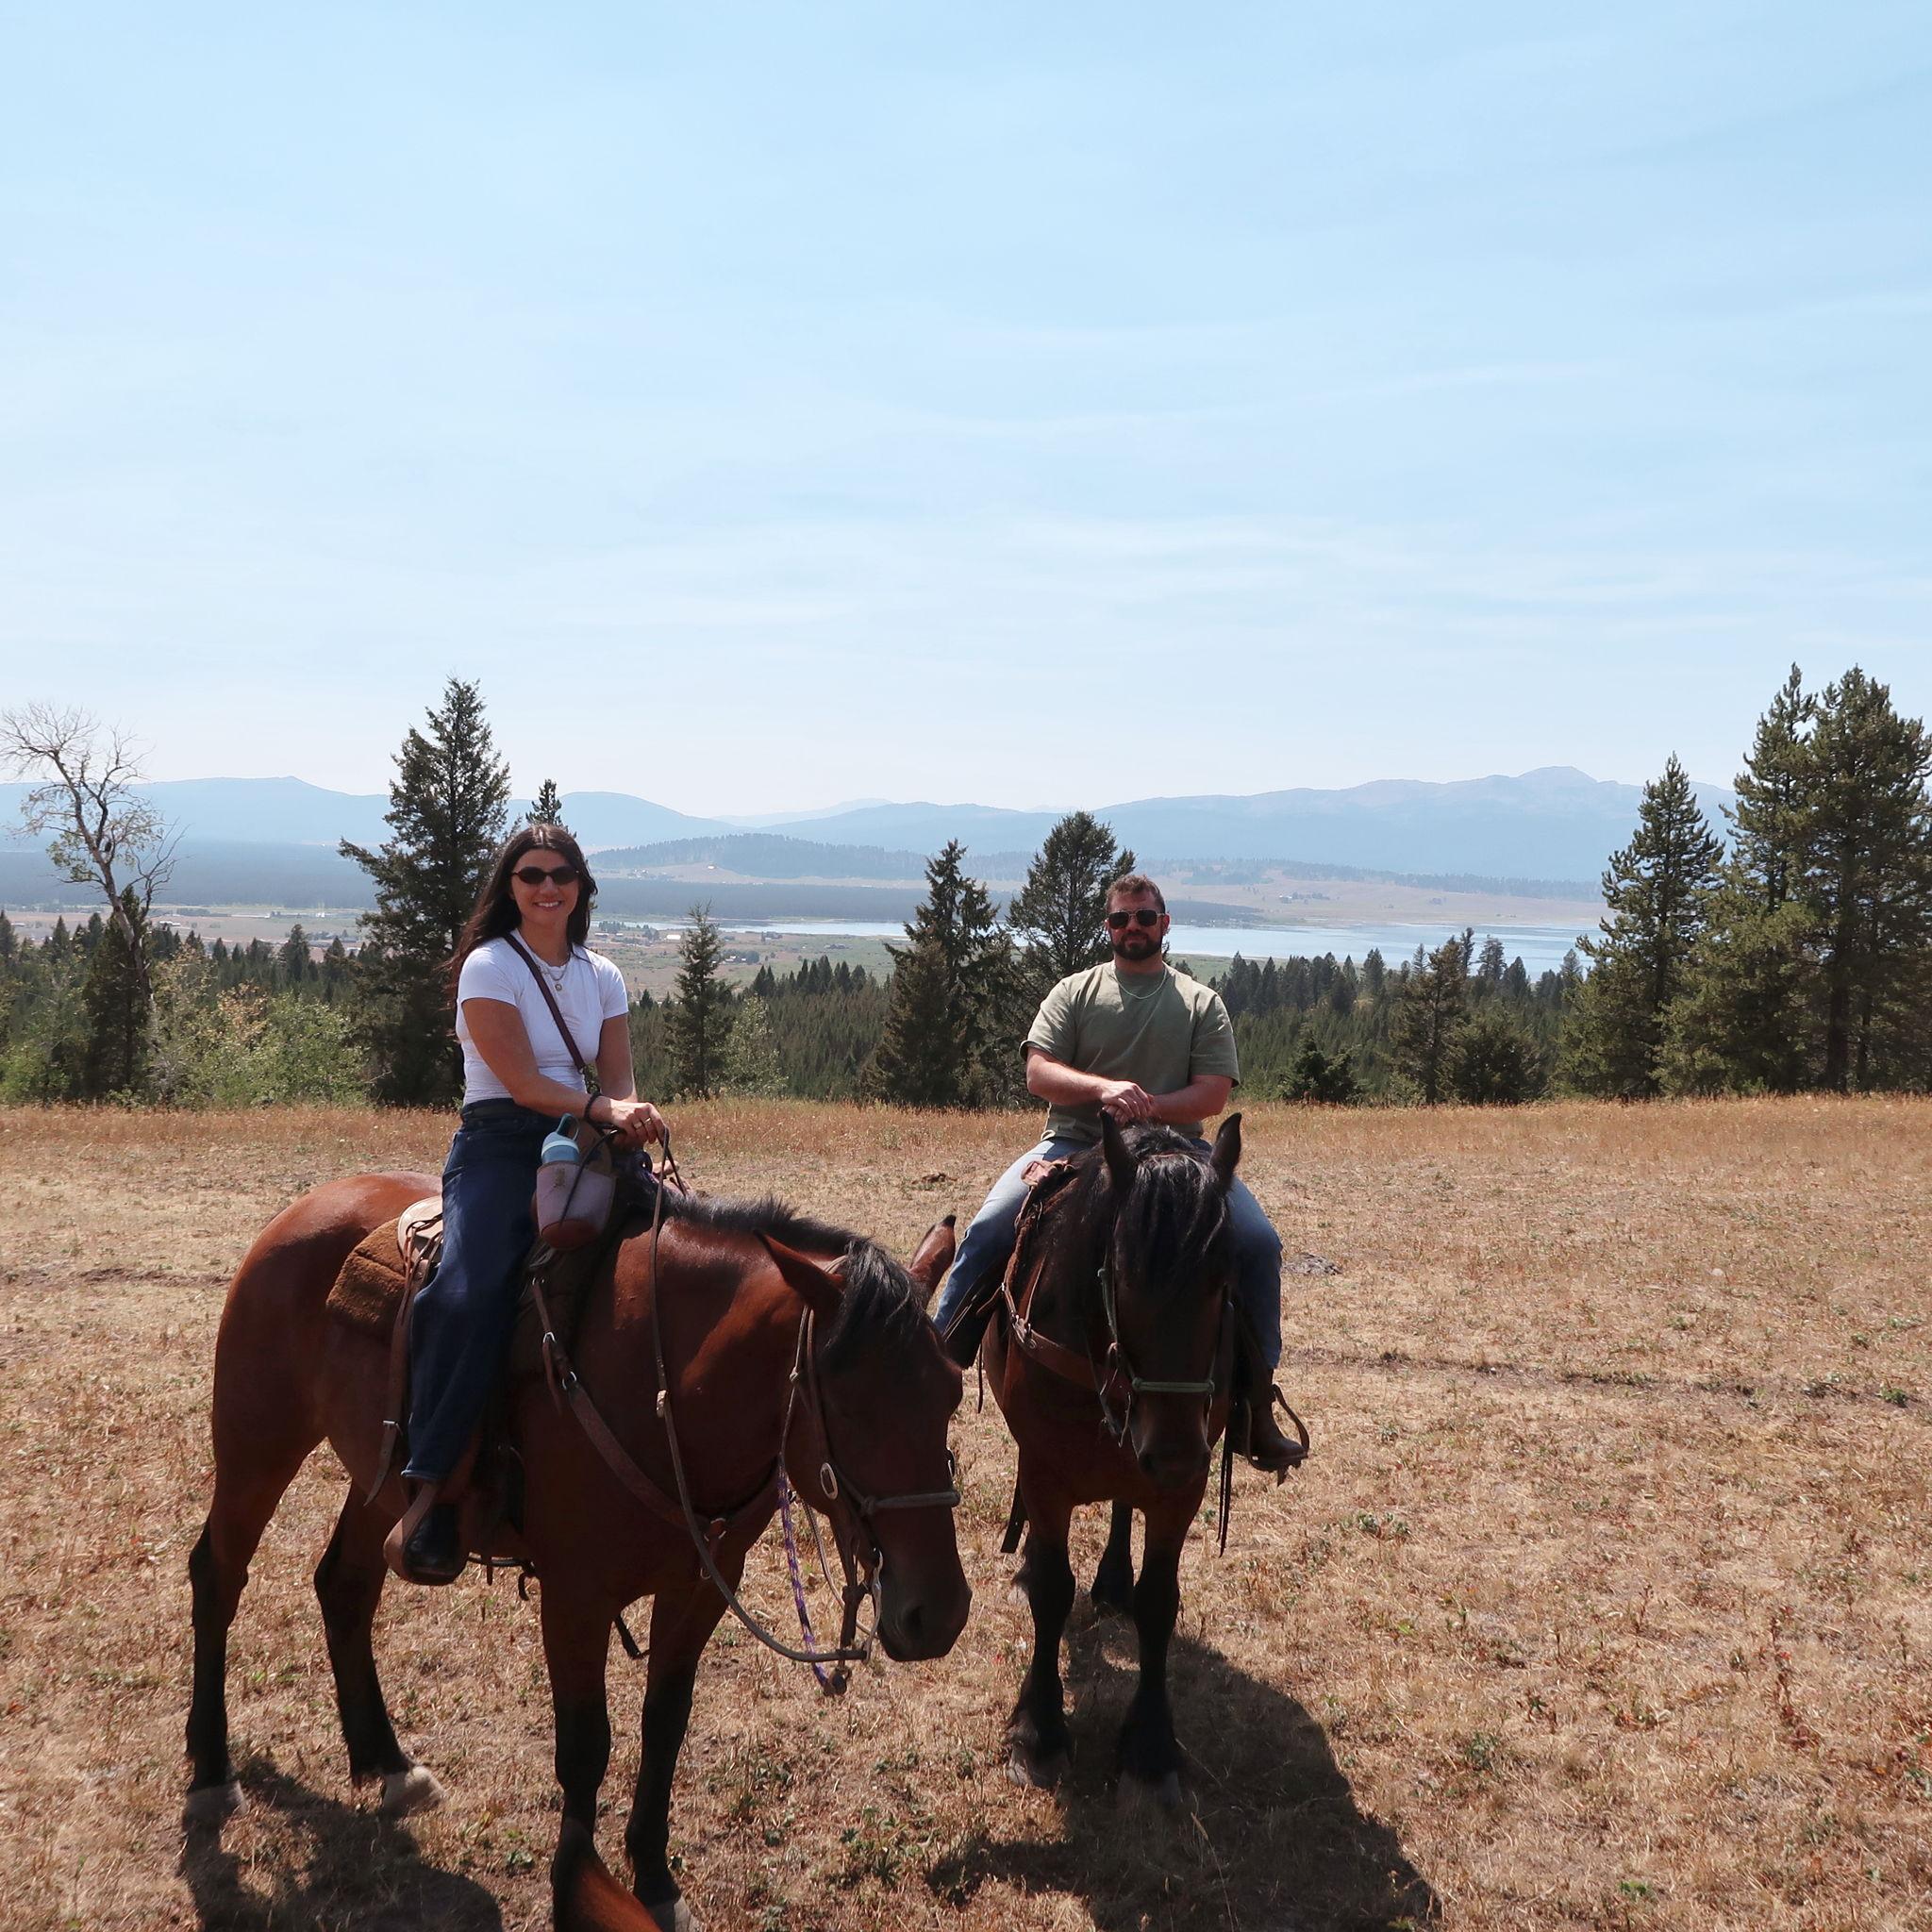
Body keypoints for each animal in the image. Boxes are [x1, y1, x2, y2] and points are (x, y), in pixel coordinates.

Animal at [185, 1167, 971, 1930]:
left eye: (953, 1393)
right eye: (850, 1404)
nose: (939, 1615)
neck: (666, 1384)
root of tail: (308, 1206)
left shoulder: (701, 1586)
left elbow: (664, 1724)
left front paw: (654, 1880)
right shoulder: (574, 1598)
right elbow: (585, 1747)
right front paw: (579, 1890)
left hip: (379, 1483)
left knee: (344, 1585)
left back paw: (387, 1763)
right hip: (259, 1441)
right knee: (218, 1577)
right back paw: (211, 1776)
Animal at [980, 1112, 1243, 1807]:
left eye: (1224, 1280)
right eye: (1120, 1278)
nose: (1175, 1451)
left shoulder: (1182, 1492)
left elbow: (1159, 1603)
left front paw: (1150, 1748)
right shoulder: (1045, 1474)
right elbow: (1051, 1590)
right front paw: (1039, 1732)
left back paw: (1114, 1580)